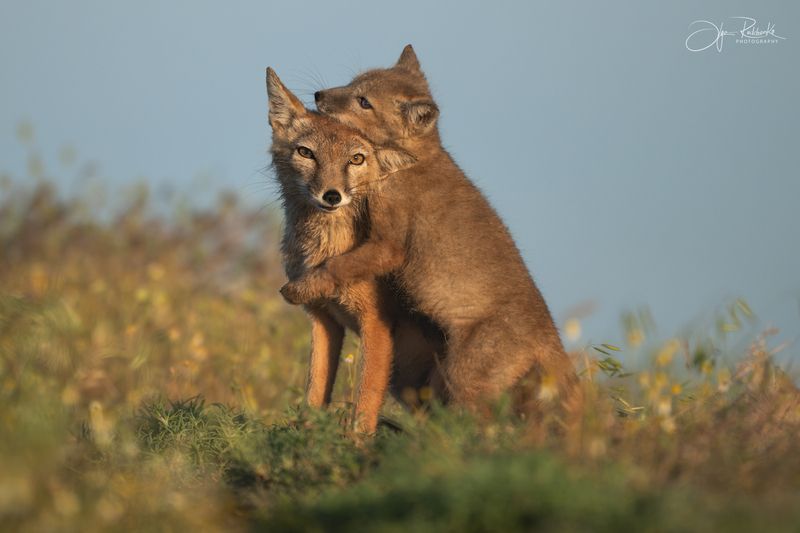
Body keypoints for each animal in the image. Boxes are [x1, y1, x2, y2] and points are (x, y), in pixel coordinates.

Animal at [266, 67, 445, 433]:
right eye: (306, 153)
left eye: (356, 159)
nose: (332, 195)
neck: (324, 251)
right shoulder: (323, 320)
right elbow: (314, 393)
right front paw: (306, 436)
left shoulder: (376, 326)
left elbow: (363, 406)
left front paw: (355, 442)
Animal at [281, 46, 581, 418]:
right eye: (351, 84)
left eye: (363, 101)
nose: (319, 95)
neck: (410, 162)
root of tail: (552, 335)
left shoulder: (388, 246)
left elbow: (336, 266)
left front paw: (299, 288)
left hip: (462, 380)